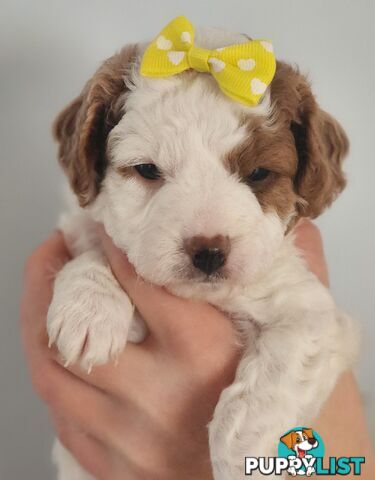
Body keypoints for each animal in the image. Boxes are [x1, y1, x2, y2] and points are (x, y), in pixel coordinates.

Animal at [48, 23, 360, 480]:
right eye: (147, 170)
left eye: (258, 173)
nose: (208, 252)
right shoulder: (77, 226)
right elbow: (93, 244)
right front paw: (89, 308)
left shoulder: (314, 314)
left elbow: (282, 364)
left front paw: (241, 450)